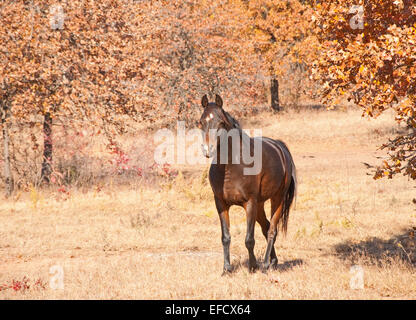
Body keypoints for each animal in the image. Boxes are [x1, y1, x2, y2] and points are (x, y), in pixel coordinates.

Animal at [198, 94, 296, 274]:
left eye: (221, 122)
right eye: (200, 122)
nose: (208, 150)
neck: (231, 166)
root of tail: (279, 146)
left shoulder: (249, 203)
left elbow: (249, 239)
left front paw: (252, 266)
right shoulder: (221, 204)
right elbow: (225, 237)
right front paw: (227, 269)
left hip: (276, 199)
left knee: (272, 230)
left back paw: (265, 265)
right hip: (260, 205)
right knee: (266, 227)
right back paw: (273, 262)